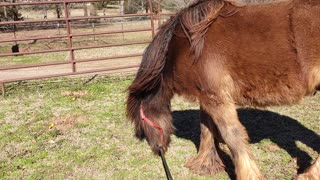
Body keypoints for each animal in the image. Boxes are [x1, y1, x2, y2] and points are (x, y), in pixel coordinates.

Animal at [126, 0, 318, 179]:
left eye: (141, 120)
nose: (157, 150)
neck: (186, 45)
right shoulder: (206, 95)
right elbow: (206, 128)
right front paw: (205, 163)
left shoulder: (216, 97)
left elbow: (232, 135)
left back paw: (308, 175)